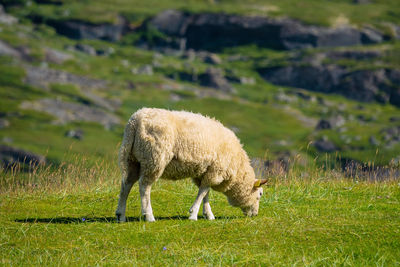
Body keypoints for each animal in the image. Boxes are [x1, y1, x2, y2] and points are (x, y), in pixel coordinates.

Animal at [114, 108, 268, 223]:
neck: (237, 168)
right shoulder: (215, 171)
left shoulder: (205, 172)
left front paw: (208, 214)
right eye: (260, 194)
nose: (255, 214)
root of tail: (136, 121)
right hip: (154, 158)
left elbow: (205, 193)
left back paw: (120, 215)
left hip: (132, 159)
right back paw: (149, 215)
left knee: (126, 184)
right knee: (144, 186)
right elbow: (203, 192)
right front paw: (193, 214)